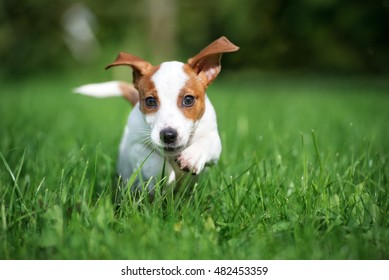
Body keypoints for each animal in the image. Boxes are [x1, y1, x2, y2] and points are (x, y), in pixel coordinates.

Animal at [74, 36, 238, 194]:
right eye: (150, 101)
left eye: (188, 100)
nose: (168, 135)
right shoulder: (135, 145)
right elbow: (152, 160)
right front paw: (165, 176)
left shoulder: (213, 140)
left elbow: (206, 143)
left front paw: (192, 156)